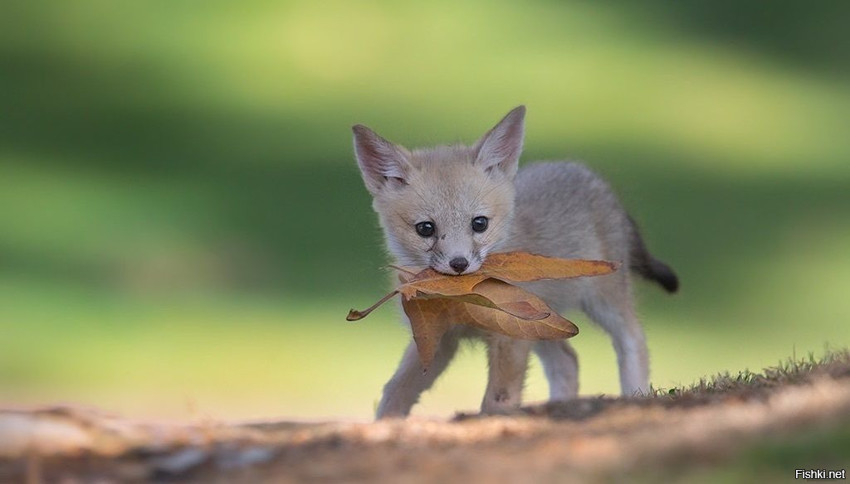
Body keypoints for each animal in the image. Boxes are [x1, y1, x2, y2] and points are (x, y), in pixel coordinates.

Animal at [352, 107, 676, 420]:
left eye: (479, 223)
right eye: (425, 229)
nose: (459, 264)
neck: (462, 302)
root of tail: (588, 174)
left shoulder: (509, 339)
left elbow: (497, 400)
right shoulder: (437, 339)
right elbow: (395, 391)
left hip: (603, 301)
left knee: (633, 341)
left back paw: (634, 398)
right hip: (546, 323)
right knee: (568, 362)